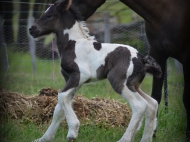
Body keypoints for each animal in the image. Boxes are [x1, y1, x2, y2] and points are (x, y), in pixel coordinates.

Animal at [29, 0, 162, 141]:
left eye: (49, 15)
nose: (31, 29)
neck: (73, 44)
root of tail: (142, 58)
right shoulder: (72, 80)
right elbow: (59, 108)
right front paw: (44, 138)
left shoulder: (80, 75)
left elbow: (62, 96)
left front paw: (72, 132)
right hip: (134, 85)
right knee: (152, 104)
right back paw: (146, 138)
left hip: (119, 82)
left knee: (140, 105)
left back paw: (124, 139)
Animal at [71, 0, 190, 140]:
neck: (166, 12)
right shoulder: (158, 54)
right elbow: (156, 96)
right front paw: (152, 133)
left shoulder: (187, 59)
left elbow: (186, 98)